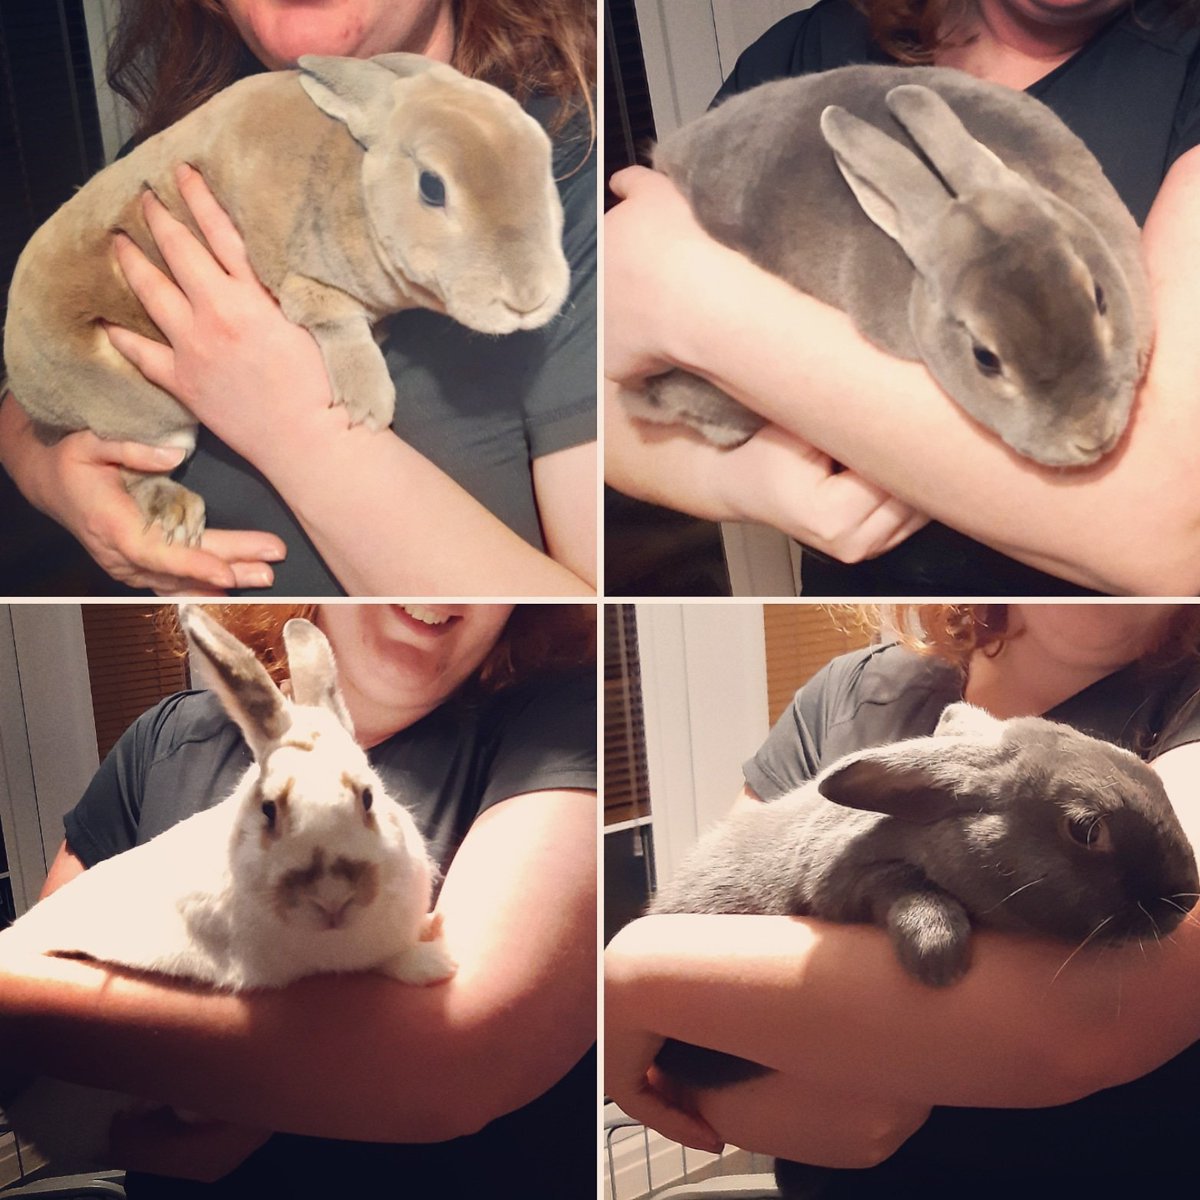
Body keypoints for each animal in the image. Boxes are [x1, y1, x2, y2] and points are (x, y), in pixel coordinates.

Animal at [2, 52, 569, 545]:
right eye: (433, 186)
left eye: (545, 163)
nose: (529, 296)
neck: (355, 187)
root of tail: (21, 381)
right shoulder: (302, 281)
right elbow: (341, 325)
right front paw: (369, 406)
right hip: (153, 421)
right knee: (133, 471)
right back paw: (178, 516)